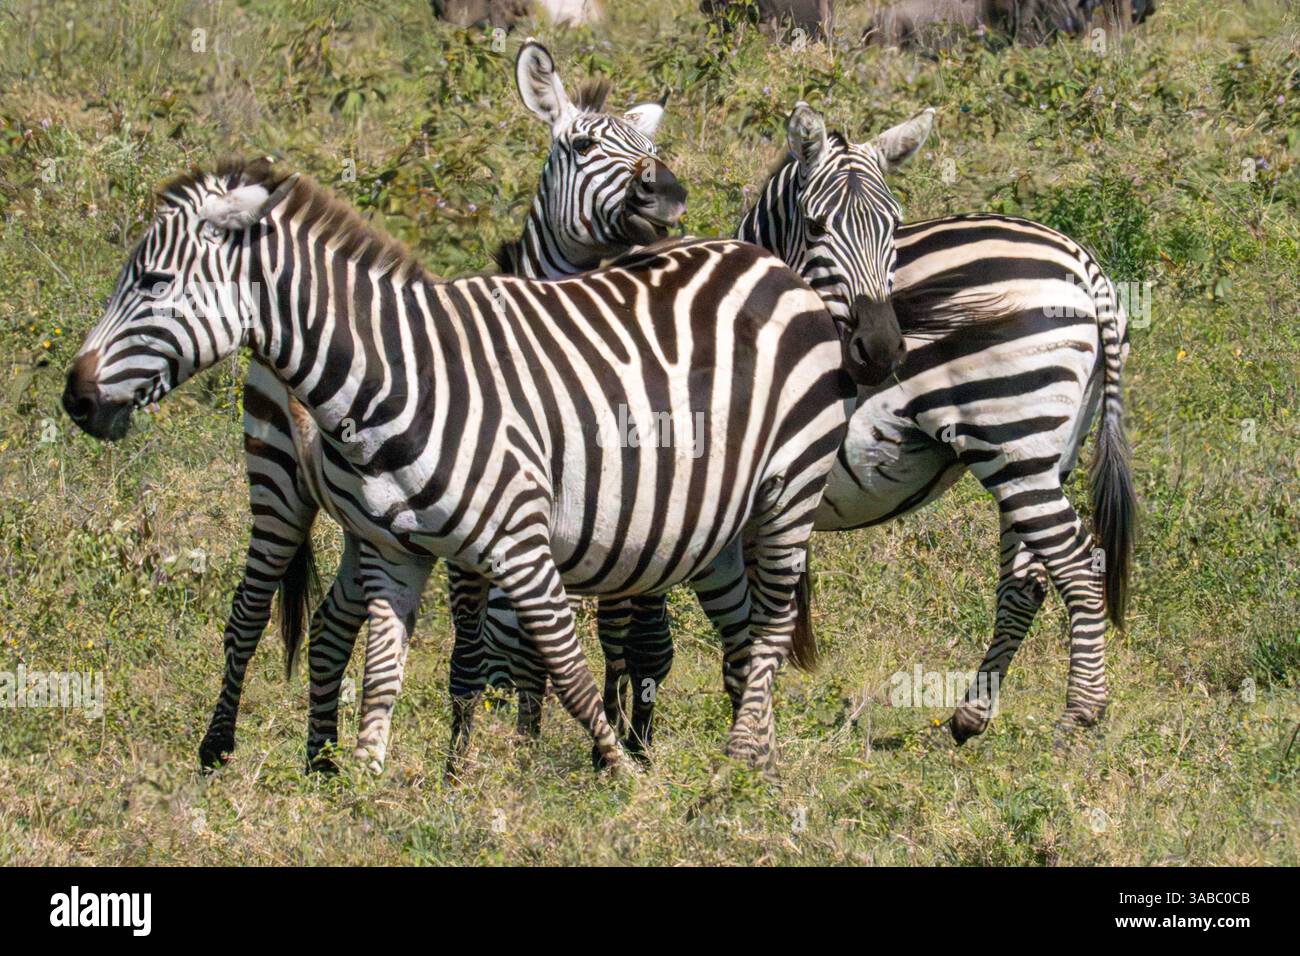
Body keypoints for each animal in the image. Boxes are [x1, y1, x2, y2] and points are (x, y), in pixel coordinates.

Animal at [61, 158, 873, 772]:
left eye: (153, 282)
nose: (75, 397)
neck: (396, 377)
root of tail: (773, 266)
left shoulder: (518, 543)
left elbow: (564, 666)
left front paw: (620, 775)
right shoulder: (397, 549)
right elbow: (385, 672)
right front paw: (362, 784)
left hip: (788, 491)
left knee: (770, 626)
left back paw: (741, 759)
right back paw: (757, 759)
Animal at [193, 40, 687, 771]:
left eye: (650, 146)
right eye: (581, 144)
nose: (669, 194)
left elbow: (596, 636)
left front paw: (583, 746)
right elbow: (478, 651)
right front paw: (466, 765)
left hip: (361, 525)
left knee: (334, 621)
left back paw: (324, 759)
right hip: (277, 485)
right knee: (249, 610)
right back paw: (216, 747)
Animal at [481, 101, 1135, 757]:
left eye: (894, 228)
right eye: (817, 226)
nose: (882, 351)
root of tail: (1081, 262)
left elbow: (637, 631)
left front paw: (632, 740)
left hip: (1011, 432)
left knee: (1078, 564)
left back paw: (1080, 716)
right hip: (1041, 452)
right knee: (1026, 581)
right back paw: (972, 715)